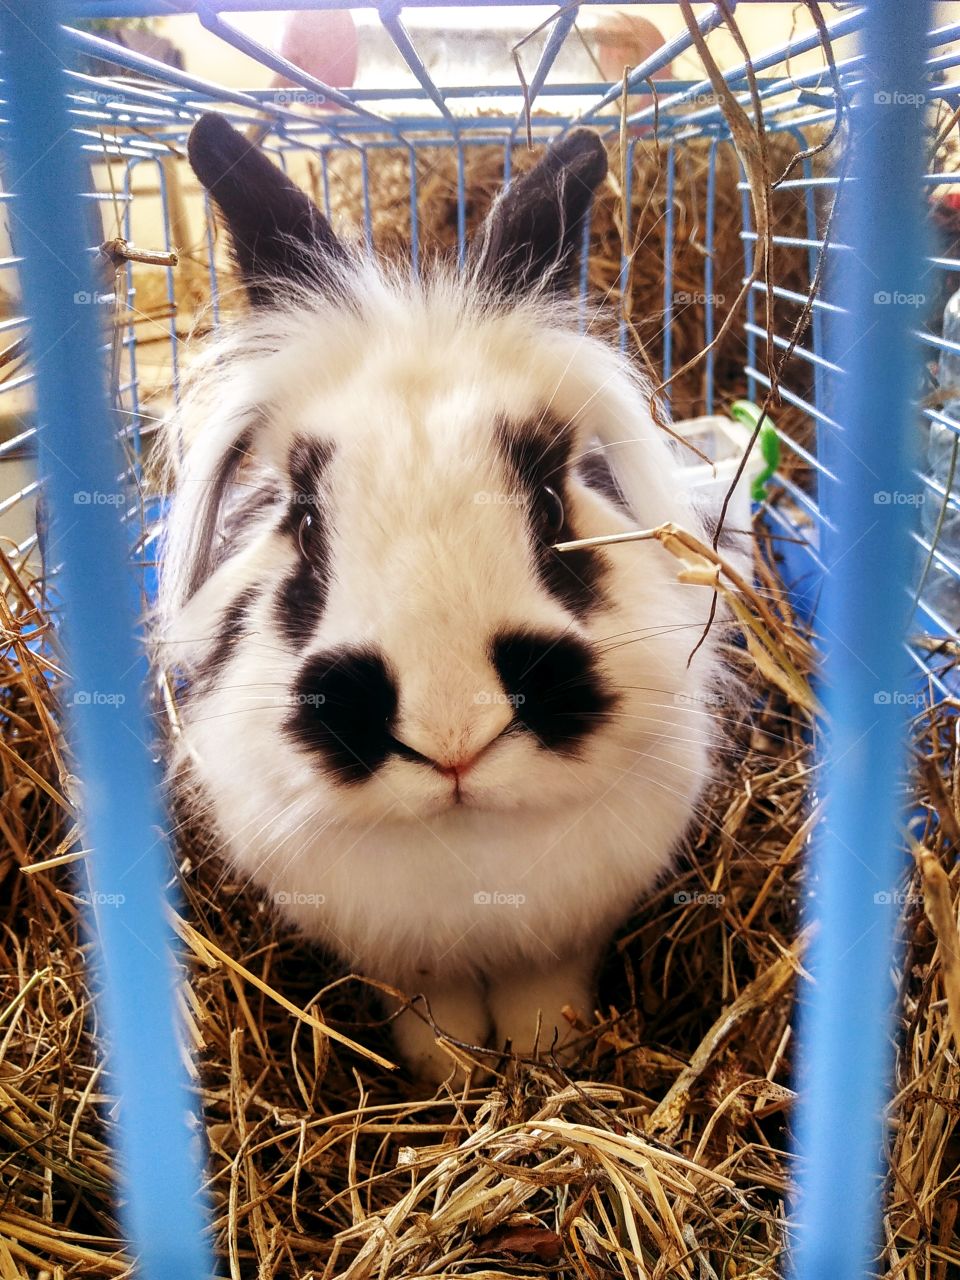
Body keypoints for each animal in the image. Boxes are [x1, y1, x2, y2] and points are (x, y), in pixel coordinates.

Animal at [159, 112, 737, 1083]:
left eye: (551, 505)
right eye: (304, 522)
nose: (453, 735)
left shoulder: (565, 939)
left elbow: (546, 1000)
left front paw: (547, 1059)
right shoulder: (402, 963)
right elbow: (433, 1018)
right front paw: (454, 1079)